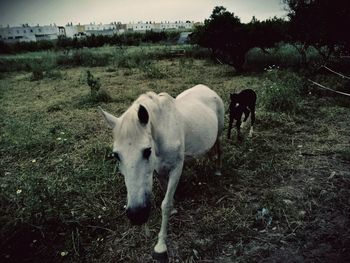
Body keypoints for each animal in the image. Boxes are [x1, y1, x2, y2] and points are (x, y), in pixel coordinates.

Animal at [99, 85, 224, 262]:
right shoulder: (158, 170)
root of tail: (206, 88)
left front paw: (160, 247)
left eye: (147, 151)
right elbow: (166, 194)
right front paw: (173, 209)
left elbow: (165, 204)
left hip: (219, 132)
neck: (164, 133)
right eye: (116, 155)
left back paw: (218, 170)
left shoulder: (176, 168)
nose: (137, 215)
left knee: (218, 149)